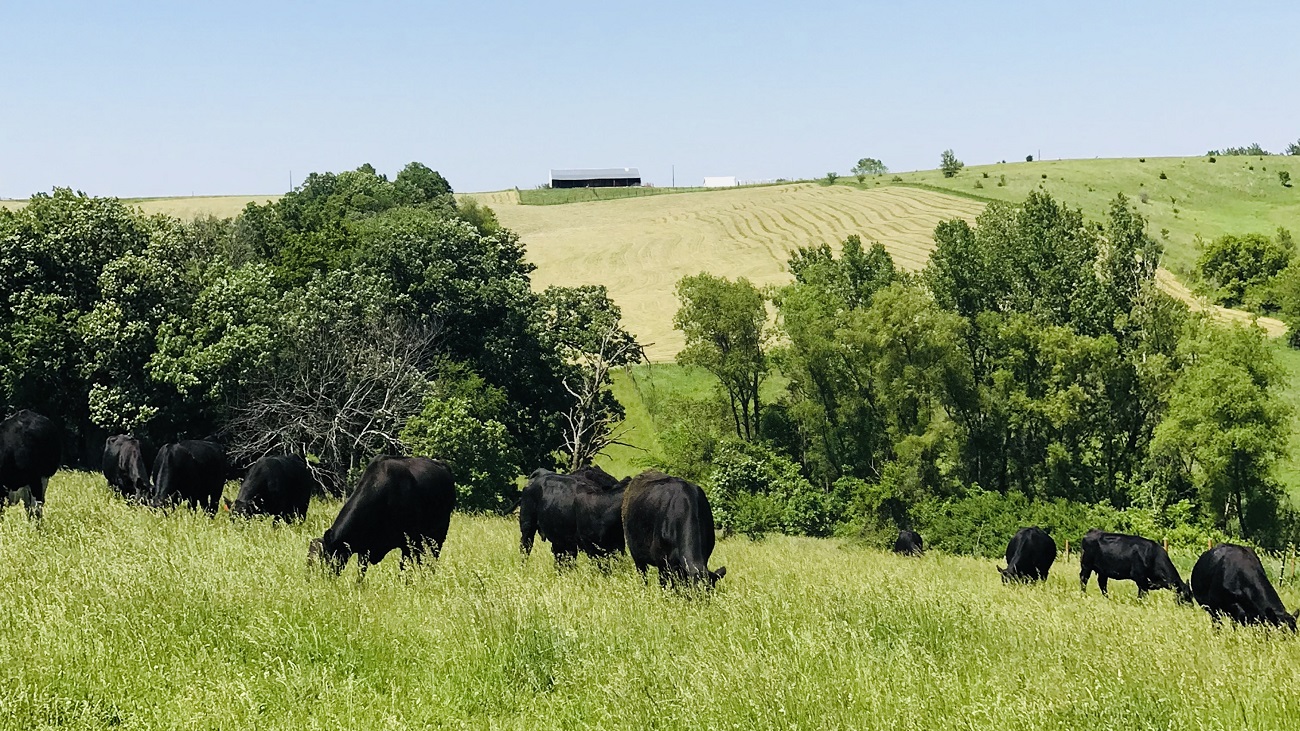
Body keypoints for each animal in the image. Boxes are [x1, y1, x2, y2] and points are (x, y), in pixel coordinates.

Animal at [306, 455, 454, 574]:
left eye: (322, 558)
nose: (312, 579)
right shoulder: (365, 548)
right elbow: (361, 572)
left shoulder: (408, 542)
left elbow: (405, 569)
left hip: (438, 534)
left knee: (433, 558)